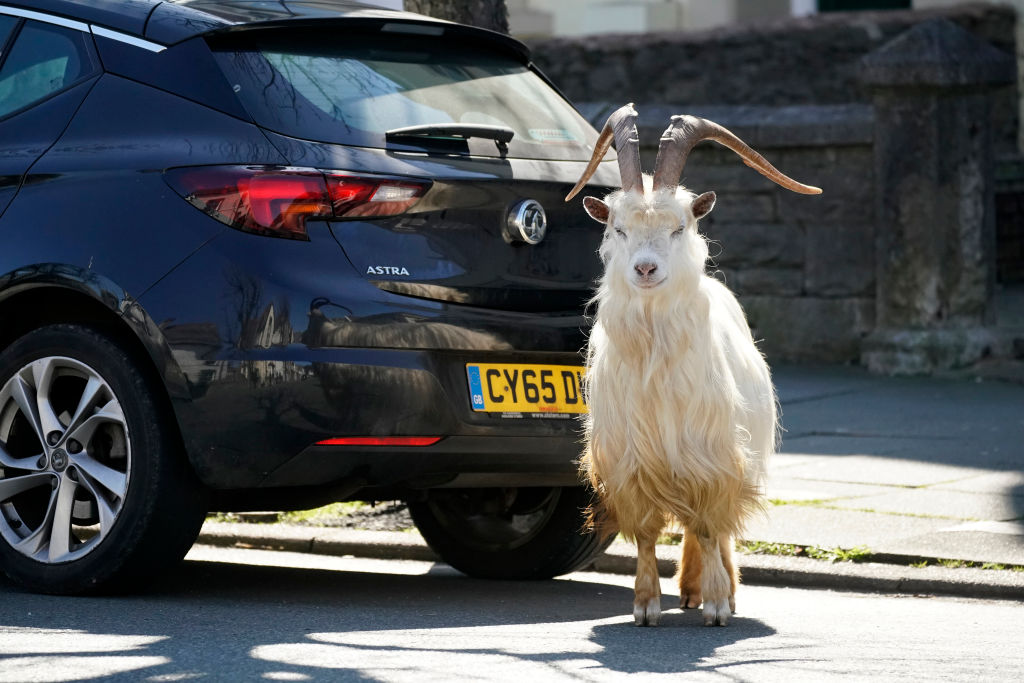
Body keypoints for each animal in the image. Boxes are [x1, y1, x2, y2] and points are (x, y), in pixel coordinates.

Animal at [566, 104, 820, 627]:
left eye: (678, 227)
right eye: (618, 229)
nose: (645, 269)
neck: (655, 359)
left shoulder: (709, 455)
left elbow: (707, 526)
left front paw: (719, 604)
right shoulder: (632, 462)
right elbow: (646, 534)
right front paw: (645, 605)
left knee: (713, 529)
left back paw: (714, 589)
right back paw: (686, 589)